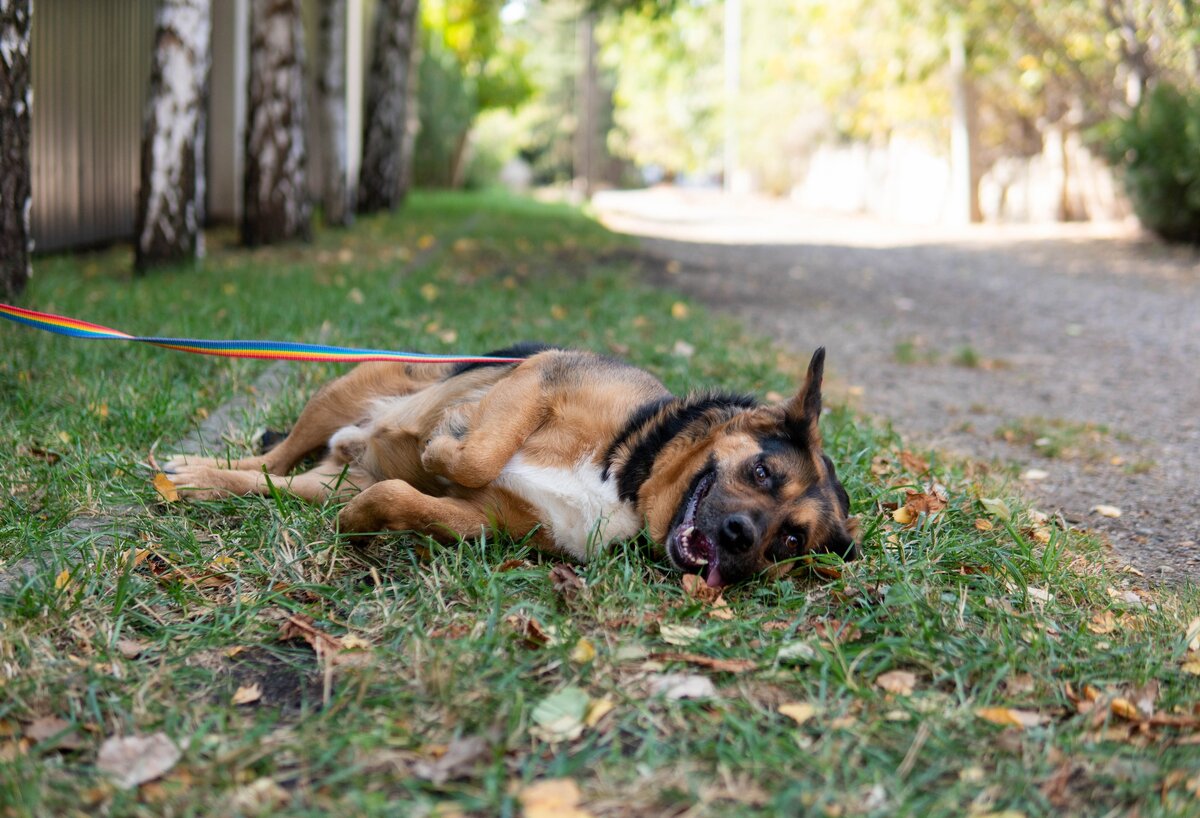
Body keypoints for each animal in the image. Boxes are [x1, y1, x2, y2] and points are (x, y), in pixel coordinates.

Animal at [166, 340, 864, 582]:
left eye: (790, 541)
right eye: (762, 472)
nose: (741, 537)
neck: (628, 478)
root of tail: (347, 445)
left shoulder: (487, 520)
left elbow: (408, 500)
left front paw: (362, 523)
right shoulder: (539, 378)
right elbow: (478, 454)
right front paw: (443, 444)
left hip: (324, 481)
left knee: (270, 481)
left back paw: (203, 483)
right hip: (341, 389)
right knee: (275, 453)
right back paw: (193, 468)